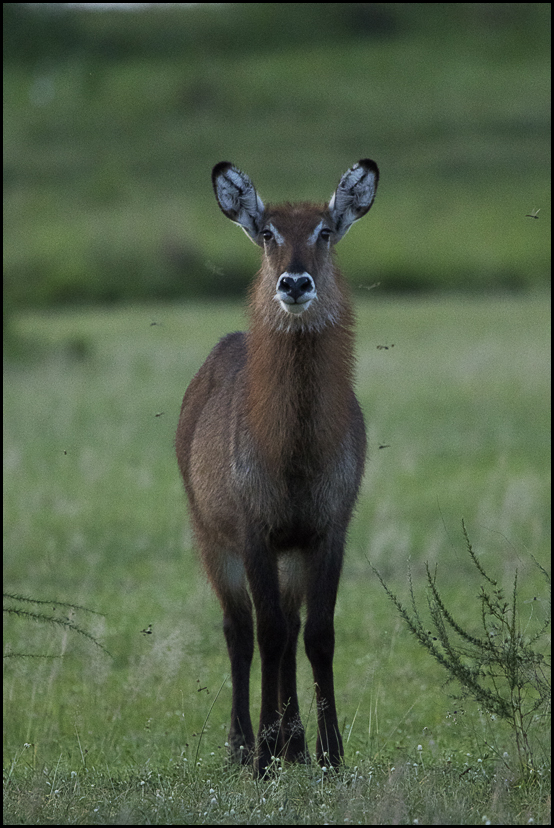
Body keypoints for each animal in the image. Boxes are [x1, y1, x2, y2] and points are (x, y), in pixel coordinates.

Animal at [175, 158, 378, 780]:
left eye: (325, 231)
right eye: (267, 233)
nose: (294, 283)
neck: (294, 454)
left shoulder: (327, 529)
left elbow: (318, 636)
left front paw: (329, 752)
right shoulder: (255, 531)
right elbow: (264, 635)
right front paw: (264, 752)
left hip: (291, 553)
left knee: (289, 632)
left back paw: (294, 744)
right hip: (211, 537)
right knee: (240, 632)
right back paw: (245, 745)